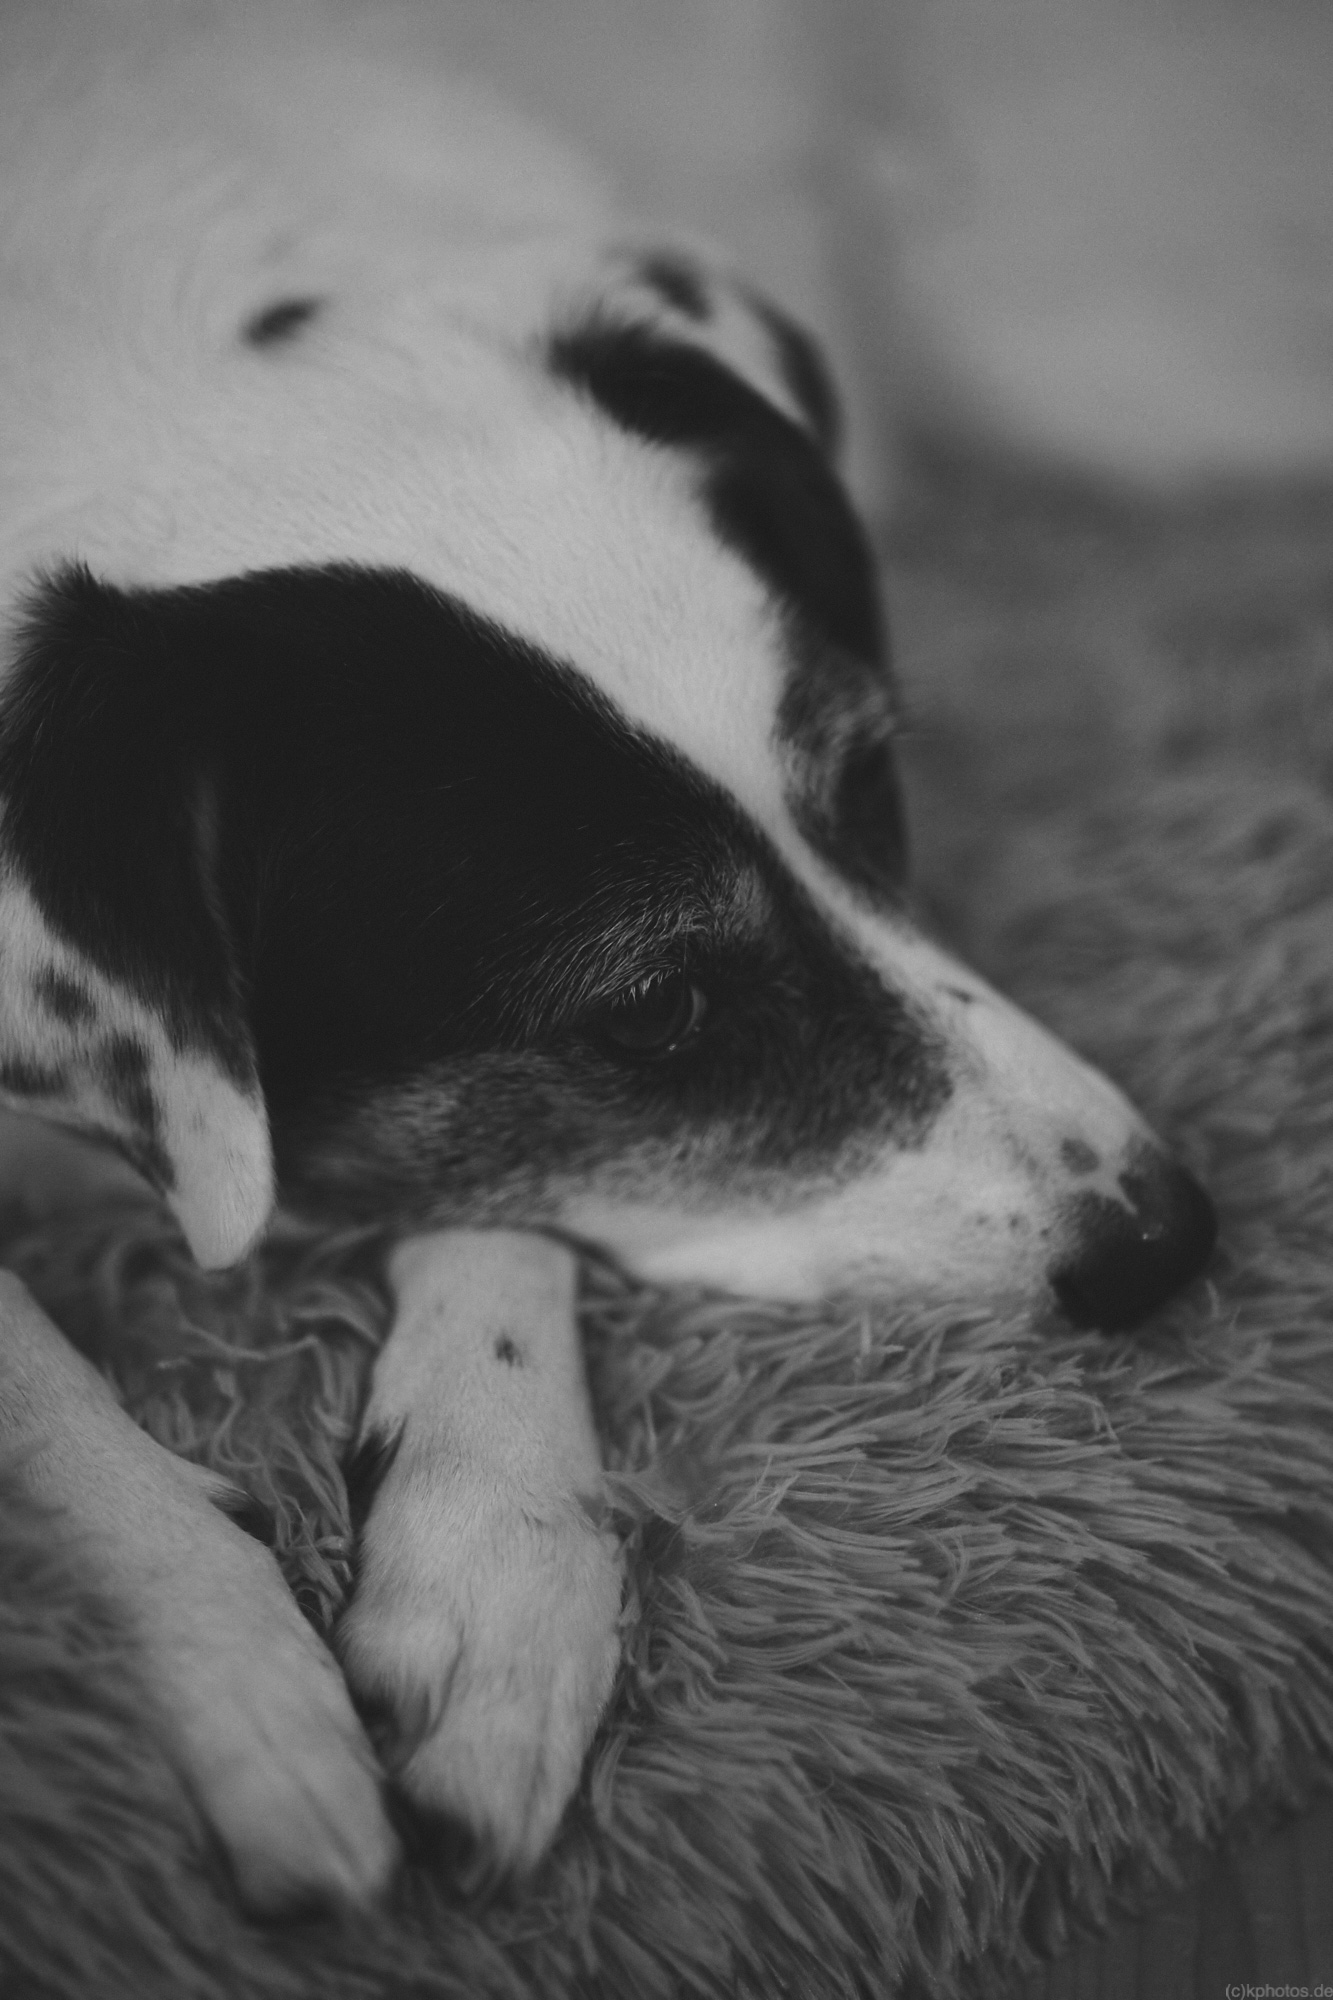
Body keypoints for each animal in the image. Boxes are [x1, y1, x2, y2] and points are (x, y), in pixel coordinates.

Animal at [0, 0, 1216, 1904]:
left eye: (873, 787)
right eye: (653, 1005)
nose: (1166, 1243)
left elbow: (497, 1195)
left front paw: (497, 1577)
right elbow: (35, 1399)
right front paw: (228, 1669)